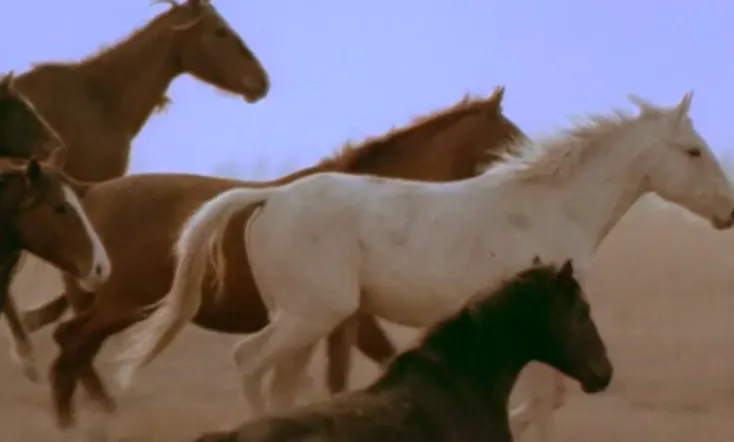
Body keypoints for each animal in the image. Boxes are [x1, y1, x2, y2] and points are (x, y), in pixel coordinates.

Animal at [19, 88, 530, 430]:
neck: (372, 205)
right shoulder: (346, 317)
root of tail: (88, 192)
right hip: (120, 305)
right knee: (72, 346)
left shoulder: (341, 320)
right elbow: (354, 370)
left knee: (75, 349)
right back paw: (72, 421)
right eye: (508, 138)